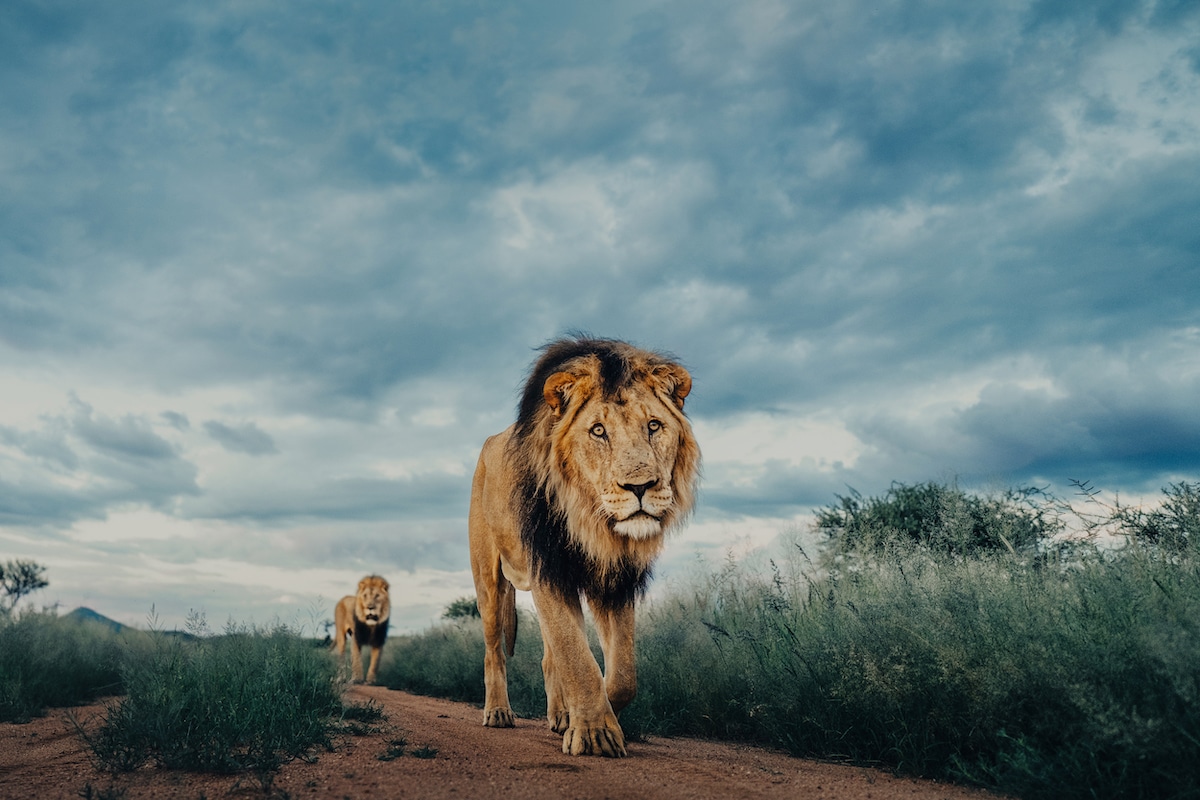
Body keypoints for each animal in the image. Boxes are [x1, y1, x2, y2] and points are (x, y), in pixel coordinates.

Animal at [463, 335, 700, 758]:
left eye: (654, 426)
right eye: (598, 431)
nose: (640, 487)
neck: (593, 525)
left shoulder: (616, 581)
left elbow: (621, 674)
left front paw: (590, 717)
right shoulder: (549, 569)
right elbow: (576, 656)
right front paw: (594, 733)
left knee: (549, 656)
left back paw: (559, 716)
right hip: (488, 580)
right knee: (493, 650)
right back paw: (499, 712)